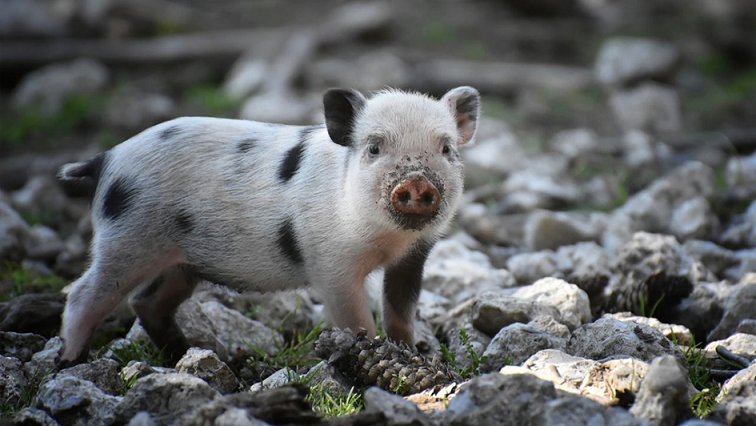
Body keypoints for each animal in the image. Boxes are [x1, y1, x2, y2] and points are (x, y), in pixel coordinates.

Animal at [57, 86, 480, 366]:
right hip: (125, 239)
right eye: (374, 148)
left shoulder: (414, 257)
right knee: (82, 293)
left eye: (446, 149)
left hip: (180, 262)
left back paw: (188, 354)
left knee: (146, 302)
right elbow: (357, 319)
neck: (389, 240)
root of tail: (106, 159)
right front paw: (370, 352)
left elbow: (401, 312)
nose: (416, 181)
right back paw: (71, 363)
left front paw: (410, 354)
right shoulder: (331, 264)